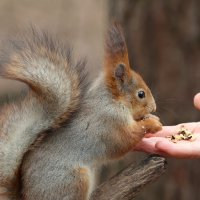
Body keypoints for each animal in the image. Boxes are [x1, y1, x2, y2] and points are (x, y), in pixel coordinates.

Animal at [0, 23, 162, 200]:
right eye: (141, 94)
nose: (154, 107)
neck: (111, 100)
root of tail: (26, 196)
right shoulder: (109, 123)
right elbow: (125, 139)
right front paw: (152, 123)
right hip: (75, 179)